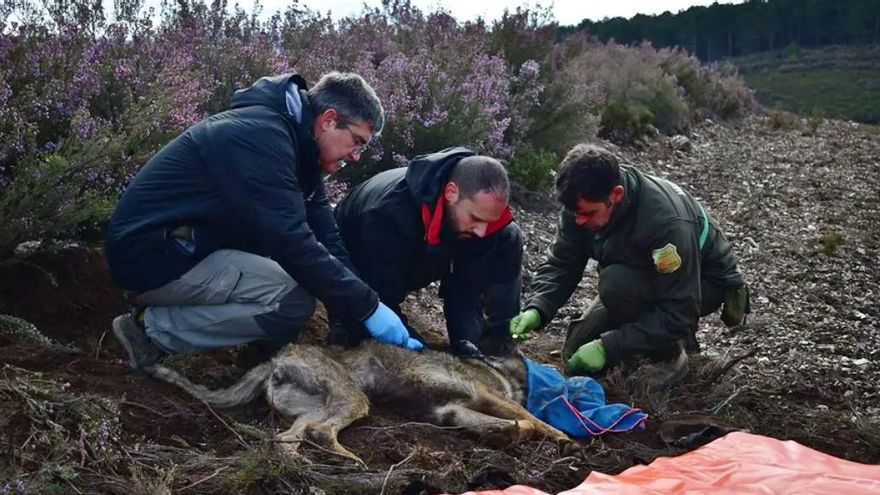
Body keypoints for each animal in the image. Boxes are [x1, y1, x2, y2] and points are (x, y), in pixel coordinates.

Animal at [147, 341, 572, 465]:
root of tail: (276, 358)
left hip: (314, 408)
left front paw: (502, 435)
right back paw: (348, 460)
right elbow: (531, 419)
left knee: (288, 439)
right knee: (321, 433)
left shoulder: (451, 410)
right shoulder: (484, 395)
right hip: (352, 399)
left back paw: (304, 464)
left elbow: (516, 423)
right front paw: (562, 437)